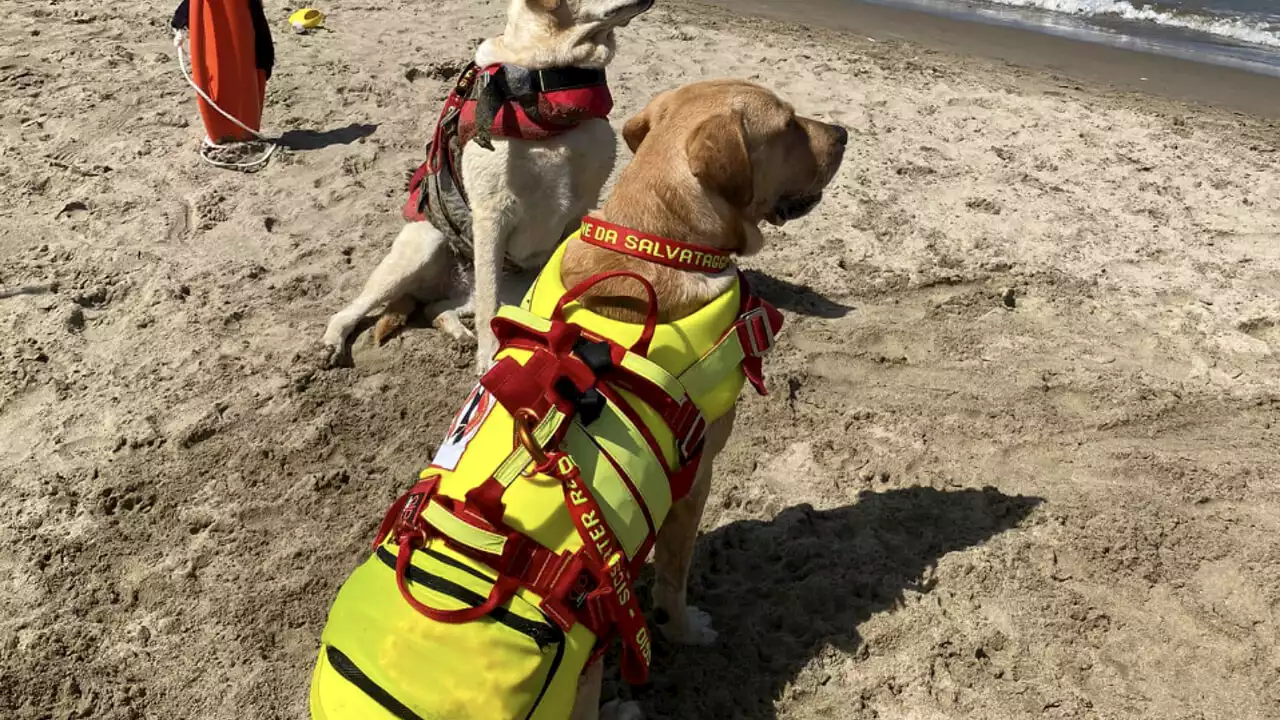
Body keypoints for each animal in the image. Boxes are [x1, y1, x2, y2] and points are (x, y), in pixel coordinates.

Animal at [325, 0, 655, 368]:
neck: (549, 84)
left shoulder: (580, 208)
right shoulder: (491, 213)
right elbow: (488, 305)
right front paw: (488, 360)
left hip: (507, 285)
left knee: (437, 308)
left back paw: (457, 333)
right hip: (422, 246)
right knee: (351, 310)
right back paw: (333, 342)